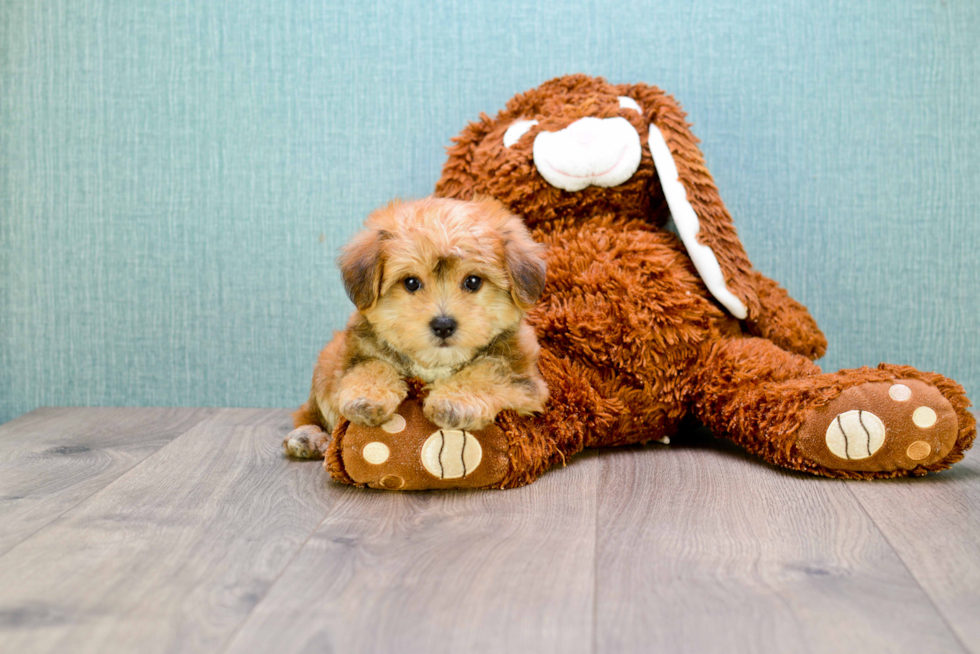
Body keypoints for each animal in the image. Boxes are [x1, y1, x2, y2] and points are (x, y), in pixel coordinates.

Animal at [290, 197, 552, 458]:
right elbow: (370, 364)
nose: (443, 325)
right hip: (324, 367)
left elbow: (488, 370)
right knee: (307, 413)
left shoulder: (524, 378)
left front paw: (454, 402)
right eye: (411, 283)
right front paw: (366, 397)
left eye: (473, 281)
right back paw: (307, 437)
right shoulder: (355, 354)